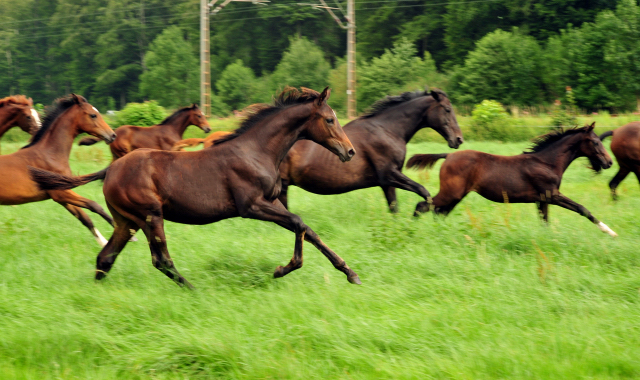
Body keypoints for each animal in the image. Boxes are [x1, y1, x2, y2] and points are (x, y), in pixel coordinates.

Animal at [0, 93, 117, 245]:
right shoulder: (60, 192)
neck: (49, 154)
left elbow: (85, 218)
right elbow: (94, 205)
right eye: (93, 115)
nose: (112, 135)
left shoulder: (61, 197)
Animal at [78, 103, 210, 160]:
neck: (172, 129)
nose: (208, 128)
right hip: (123, 152)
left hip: (116, 155)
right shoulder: (171, 149)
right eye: (199, 115)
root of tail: (114, 133)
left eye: (203, 114)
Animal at [278, 89, 462, 214]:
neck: (388, 130)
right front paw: (425, 210)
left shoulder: (387, 183)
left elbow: (394, 208)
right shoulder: (388, 174)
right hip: (282, 187)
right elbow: (424, 191)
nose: (459, 139)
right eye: (447, 109)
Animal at [408, 124, 616, 238]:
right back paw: (411, 230)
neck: (546, 163)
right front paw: (610, 232)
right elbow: (583, 209)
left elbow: (545, 221)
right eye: (596, 142)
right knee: (423, 205)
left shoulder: (542, 200)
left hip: (456, 195)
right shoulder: (552, 195)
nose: (609, 162)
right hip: (451, 193)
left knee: (438, 211)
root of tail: (448, 155)